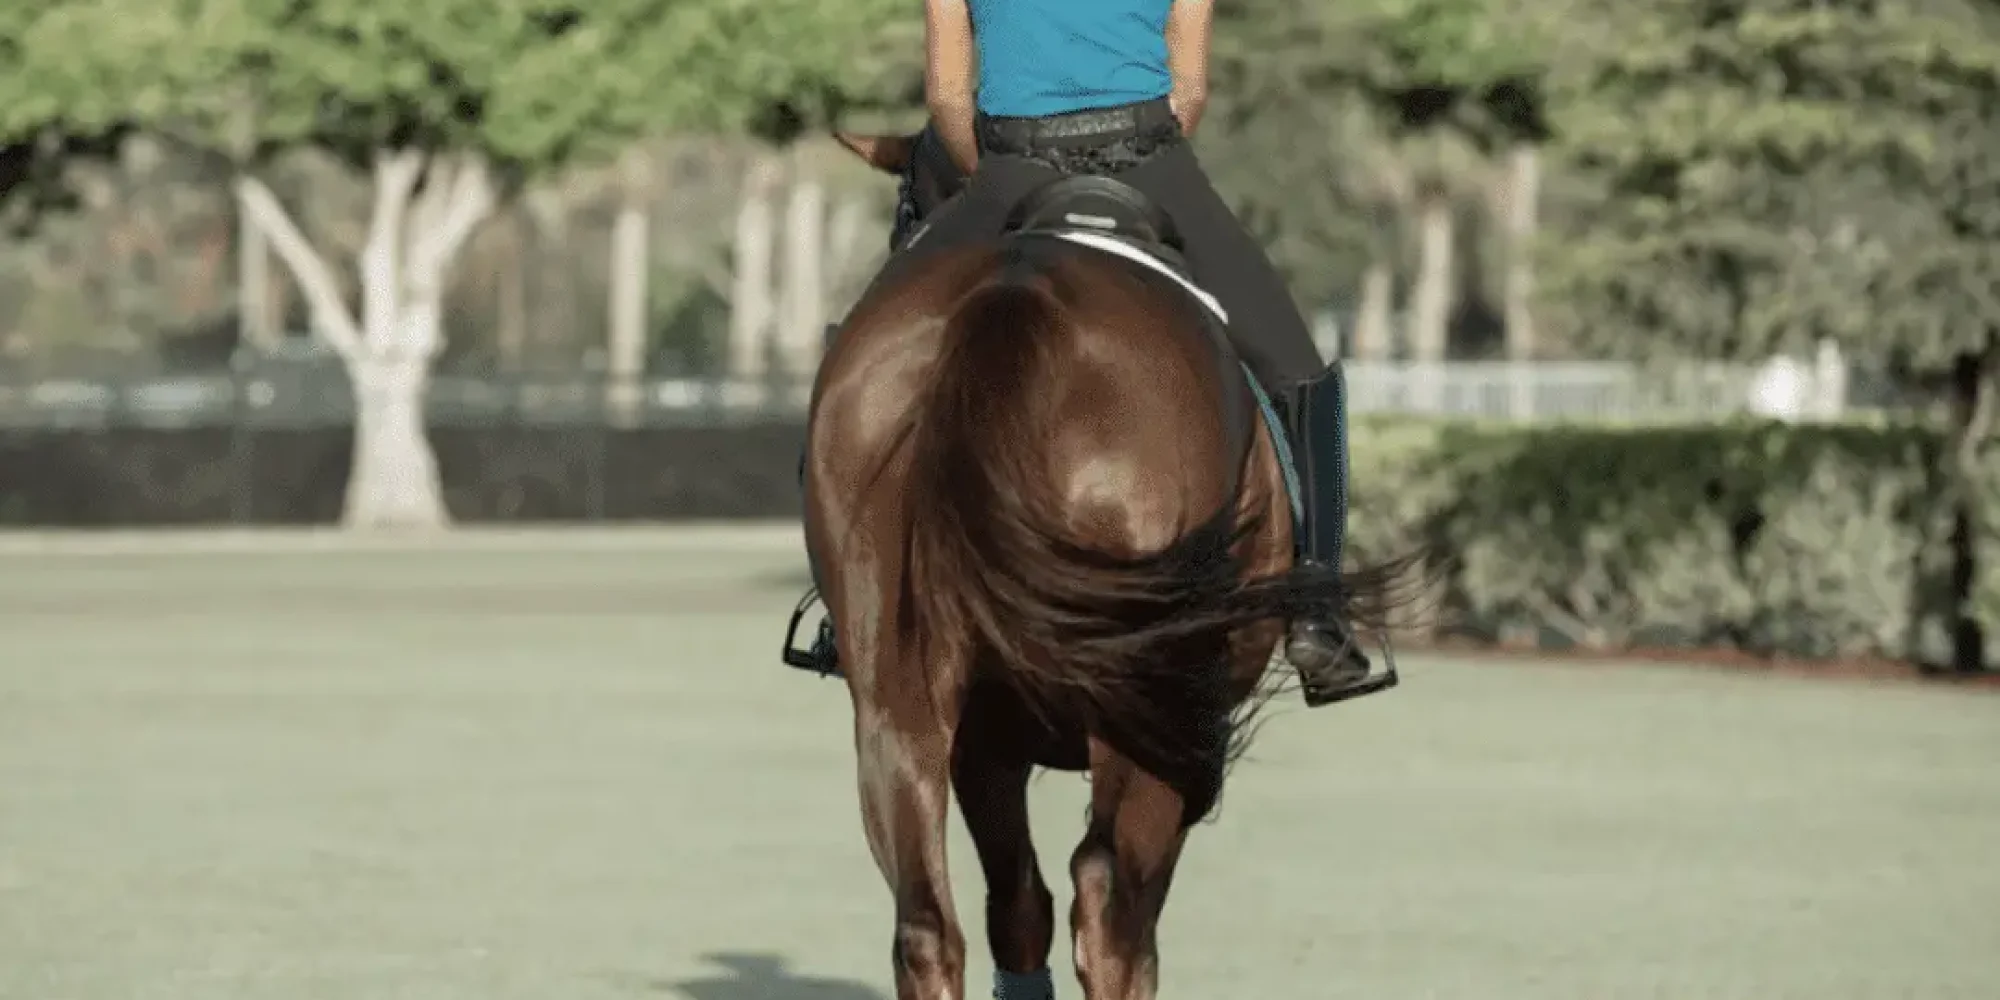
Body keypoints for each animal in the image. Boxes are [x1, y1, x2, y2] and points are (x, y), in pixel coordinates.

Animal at [804, 135, 1400, 1000]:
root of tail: (1013, 294)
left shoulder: (984, 736)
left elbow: (1016, 904)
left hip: (896, 703)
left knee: (928, 924)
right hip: (1144, 705)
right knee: (1110, 902)